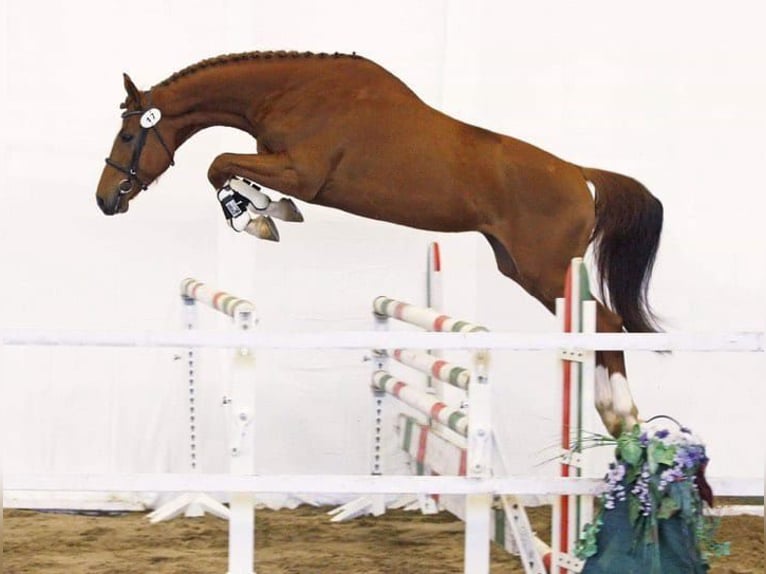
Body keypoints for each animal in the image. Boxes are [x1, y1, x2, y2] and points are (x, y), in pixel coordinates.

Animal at [96, 50, 664, 436]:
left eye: (126, 137)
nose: (105, 200)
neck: (292, 91)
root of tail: (580, 174)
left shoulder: (302, 173)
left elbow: (220, 166)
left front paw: (261, 216)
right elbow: (225, 170)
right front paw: (266, 213)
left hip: (547, 270)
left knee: (607, 323)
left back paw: (621, 415)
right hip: (526, 271)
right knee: (598, 327)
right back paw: (616, 417)